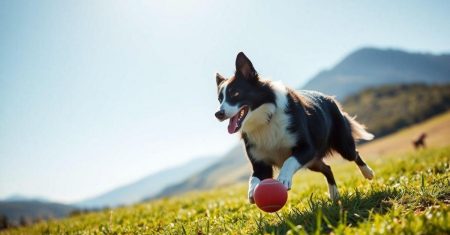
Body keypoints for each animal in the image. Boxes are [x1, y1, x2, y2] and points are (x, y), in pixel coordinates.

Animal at [214, 52, 372, 203]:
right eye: (220, 99)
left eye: (235, 93)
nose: (218, 114)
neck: (266, 119)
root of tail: (331, 99)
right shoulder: (260, 164)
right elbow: (253, 178)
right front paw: (253, 191)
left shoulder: (307, 148)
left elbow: (289, 161)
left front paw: (283, 178)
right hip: (313, 162)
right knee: (327, 168)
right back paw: (334, 194)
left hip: (342, 145)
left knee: (354, 154)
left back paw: (368, 173)